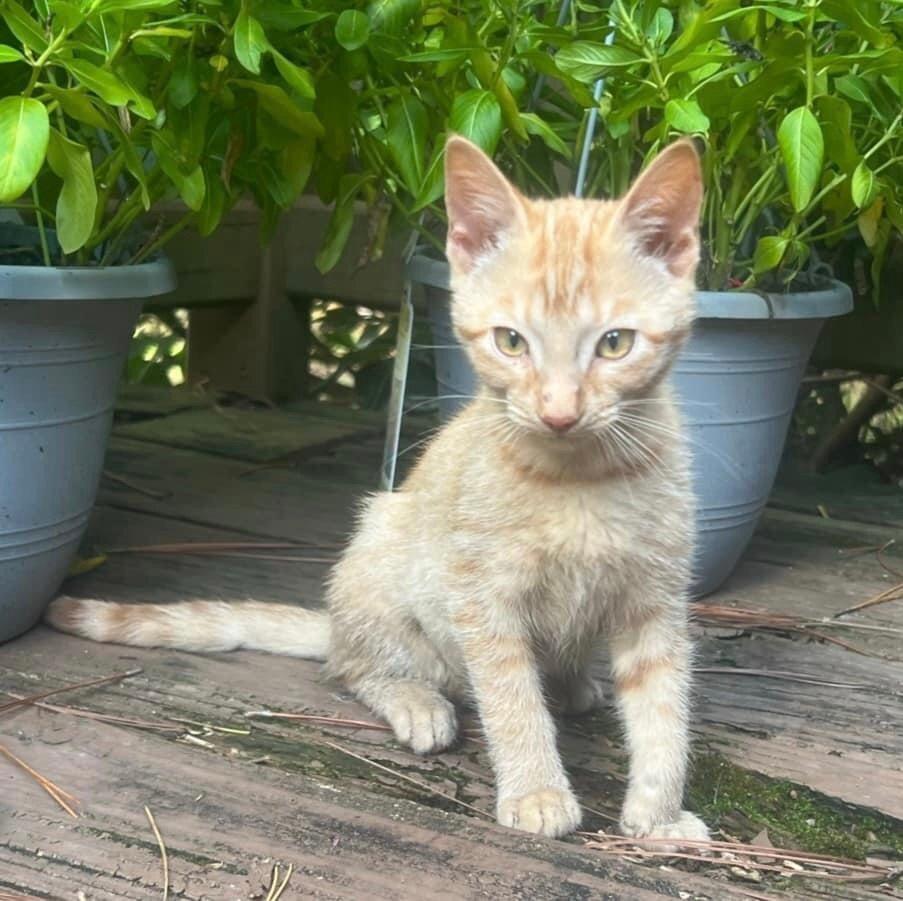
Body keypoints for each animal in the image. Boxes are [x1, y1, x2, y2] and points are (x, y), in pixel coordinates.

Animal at [47, 135, 712, 844]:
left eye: (614, 344)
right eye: (511, 341)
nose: (559, 413)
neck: (578, 477)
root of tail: (337, 622)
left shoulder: (656, 600)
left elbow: (665, 709)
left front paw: (658, 816)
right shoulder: (484, 603)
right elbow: (510, 699)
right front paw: (536, 790)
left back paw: (571, 683)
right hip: (387, 563)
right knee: (358, 666)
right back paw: (418, 701)